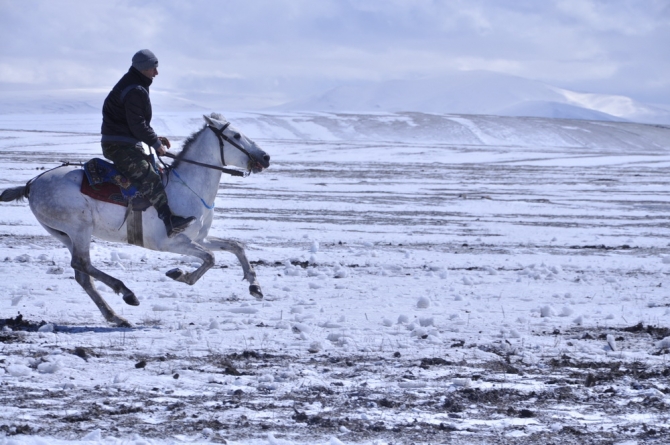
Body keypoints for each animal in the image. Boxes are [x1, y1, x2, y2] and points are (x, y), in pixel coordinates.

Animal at [3, 112, 270, 324]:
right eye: (236, 136)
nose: (265, 157)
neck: (188, 186)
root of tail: (32, 185)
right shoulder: (172, 242)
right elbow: (211, 259)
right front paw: (180, 275)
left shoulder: (199, 238)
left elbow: (236, 247)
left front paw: (255, 287)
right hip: (79, 229)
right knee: (81, 265)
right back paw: (125, 292)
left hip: (64, 235)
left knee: (82, 275)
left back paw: (115, 315)